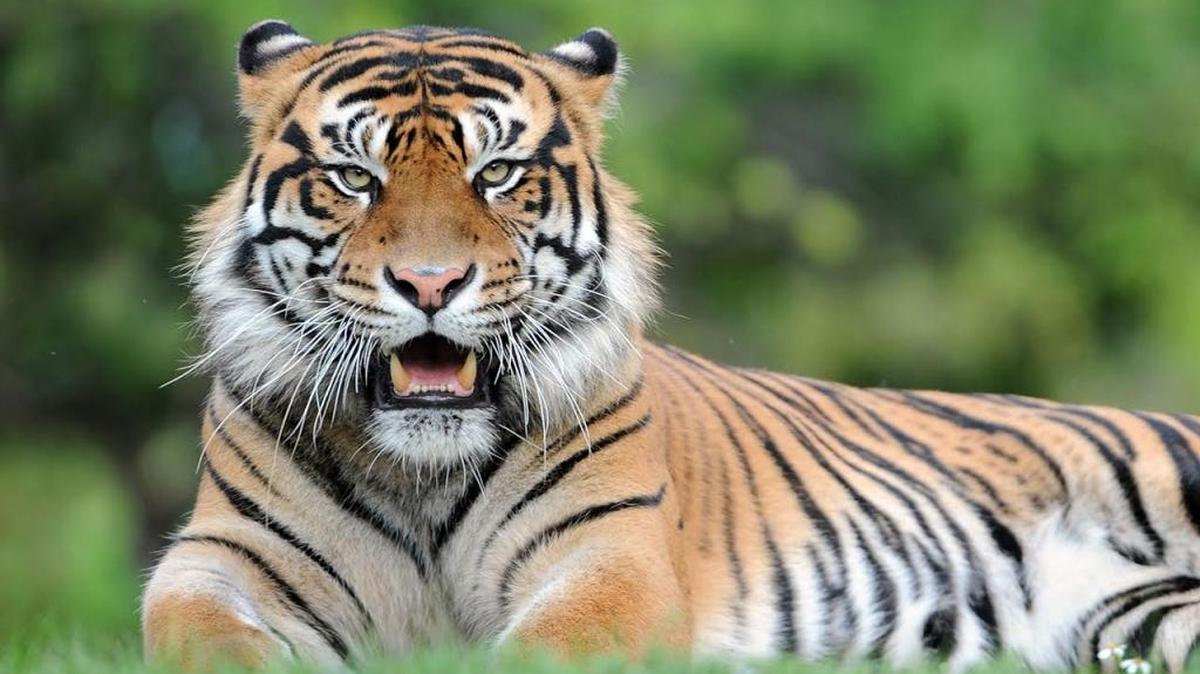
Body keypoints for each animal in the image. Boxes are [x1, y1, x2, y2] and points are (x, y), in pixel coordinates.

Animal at [142, 19, 1200, 673]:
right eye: (355, 178)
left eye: (498, 174)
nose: (431, 284)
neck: (422, 473)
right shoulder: (220, 556)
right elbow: (196, 634)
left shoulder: (614, 560)